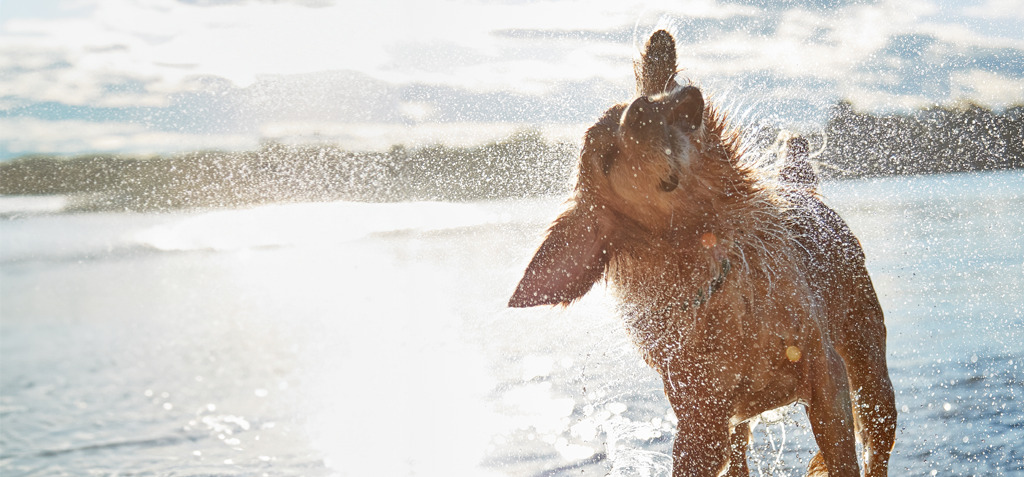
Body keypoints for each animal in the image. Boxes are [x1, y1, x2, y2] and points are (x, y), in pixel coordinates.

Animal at [509, 30, 897, 476]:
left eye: (633, 106)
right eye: (606, 160)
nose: (645, 105)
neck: (718, 262)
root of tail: (803, 188)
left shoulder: (826, 378)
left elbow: (842, 457)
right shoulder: (702, 417)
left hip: (871, 373)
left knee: (876, 446)